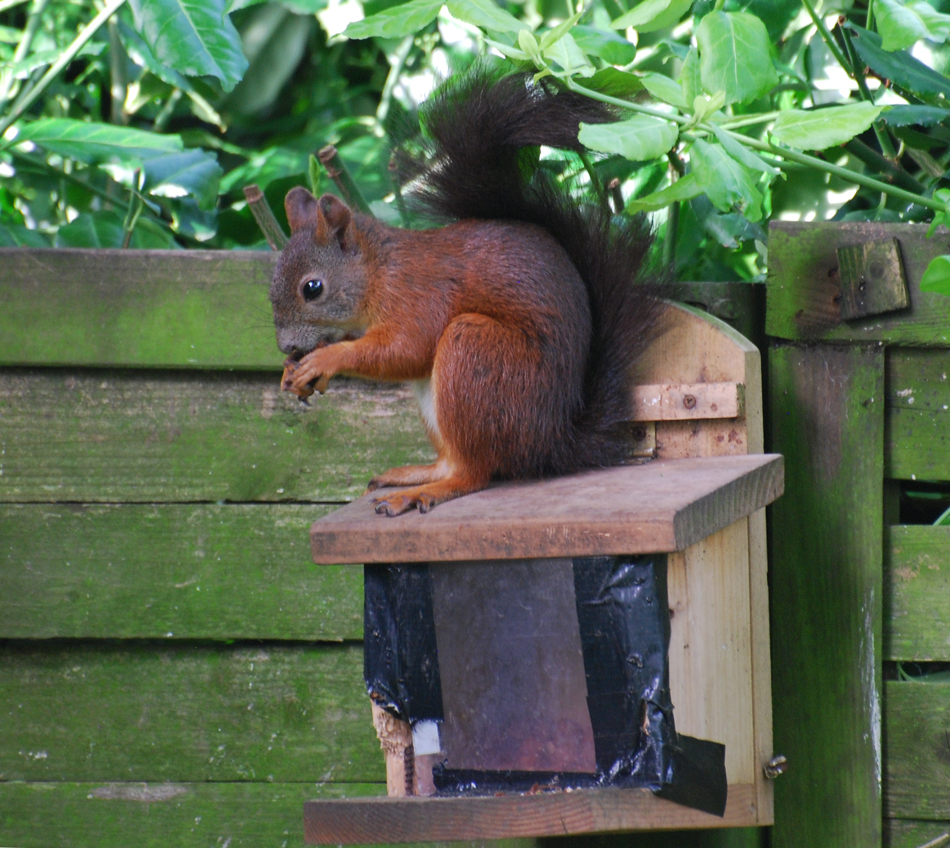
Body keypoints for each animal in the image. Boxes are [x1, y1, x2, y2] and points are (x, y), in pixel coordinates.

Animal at [266, 69, 656, 512]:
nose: (285, 347)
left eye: (312, 288)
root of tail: (553, 442)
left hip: (476, 353)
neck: (379, 273)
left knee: (473, 472)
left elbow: (405, 349)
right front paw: (293, 372)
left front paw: (326, 360)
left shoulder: (419, 297)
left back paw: (424, 492)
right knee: (453, 461)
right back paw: (412, 476)